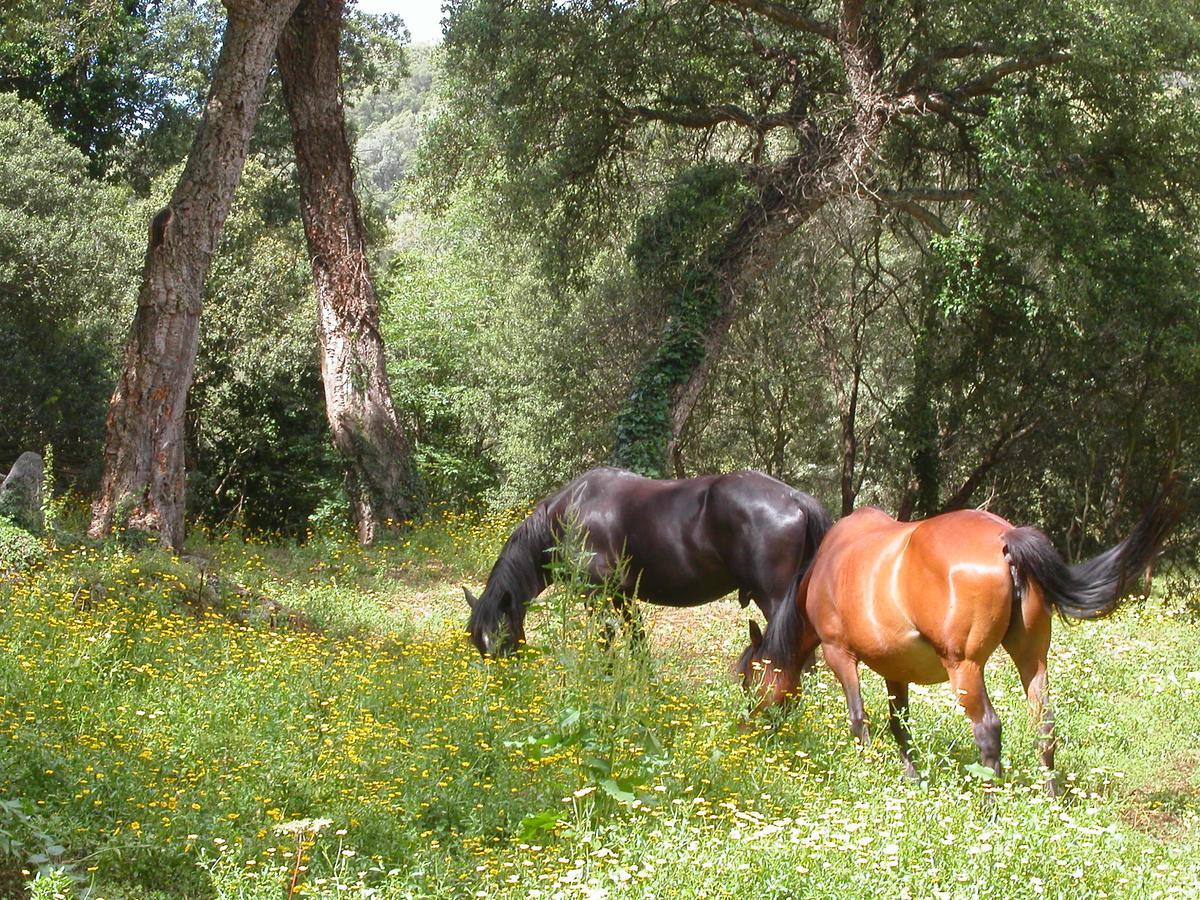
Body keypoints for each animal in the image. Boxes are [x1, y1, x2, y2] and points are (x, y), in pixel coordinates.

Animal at [463, 468, 830, 657]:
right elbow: (637, 643)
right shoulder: (622, 596)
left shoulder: (596, 597)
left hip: (774, 602)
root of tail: (793, 498)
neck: (570, 513)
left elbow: (606, 645)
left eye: (503, 640)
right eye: (479, 646)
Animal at [739, 489, 1180, 792]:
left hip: (964, 668)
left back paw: (990, 805)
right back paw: (1051, 797)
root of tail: (1005, 537)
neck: (824, 570)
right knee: (1045, 722)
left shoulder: (839, 654)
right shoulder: (895, 669)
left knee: (988, 729)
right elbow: (900, 726)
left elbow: (858, 718)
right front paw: (912, 778)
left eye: (749, 678)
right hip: (1032, 659)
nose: (750, 724)